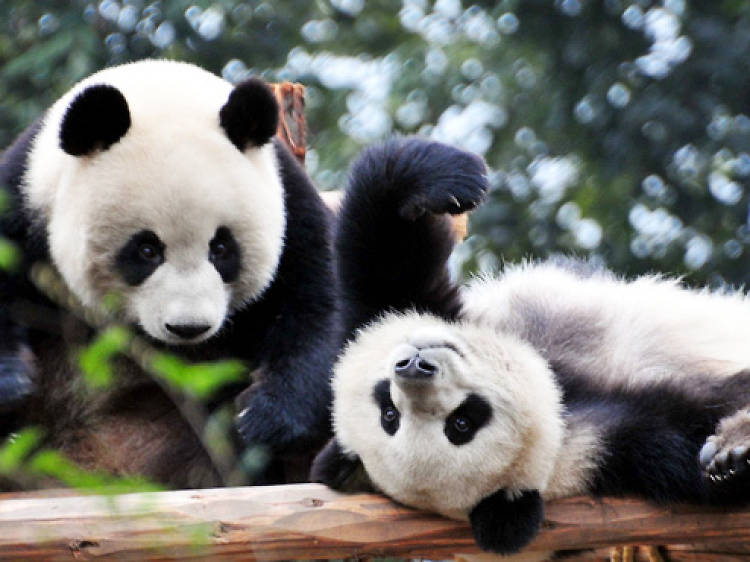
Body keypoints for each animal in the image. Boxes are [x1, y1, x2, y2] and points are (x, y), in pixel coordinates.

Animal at [0, 58, 340, 486]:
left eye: (221, 248)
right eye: (147, 250)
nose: (188, 328)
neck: (158, 90)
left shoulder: (289, 205)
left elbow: (319, 303)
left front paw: (263, 417)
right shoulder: (24, 197)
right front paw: (13, 382)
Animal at [312, 139, 750, 552]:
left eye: (386, 411)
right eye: (461, 424)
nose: (415, 367)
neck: (559, 395)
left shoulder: (398, 308)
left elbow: (383, 254)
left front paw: (446, 178)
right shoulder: (613, 447)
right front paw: (734, 455)